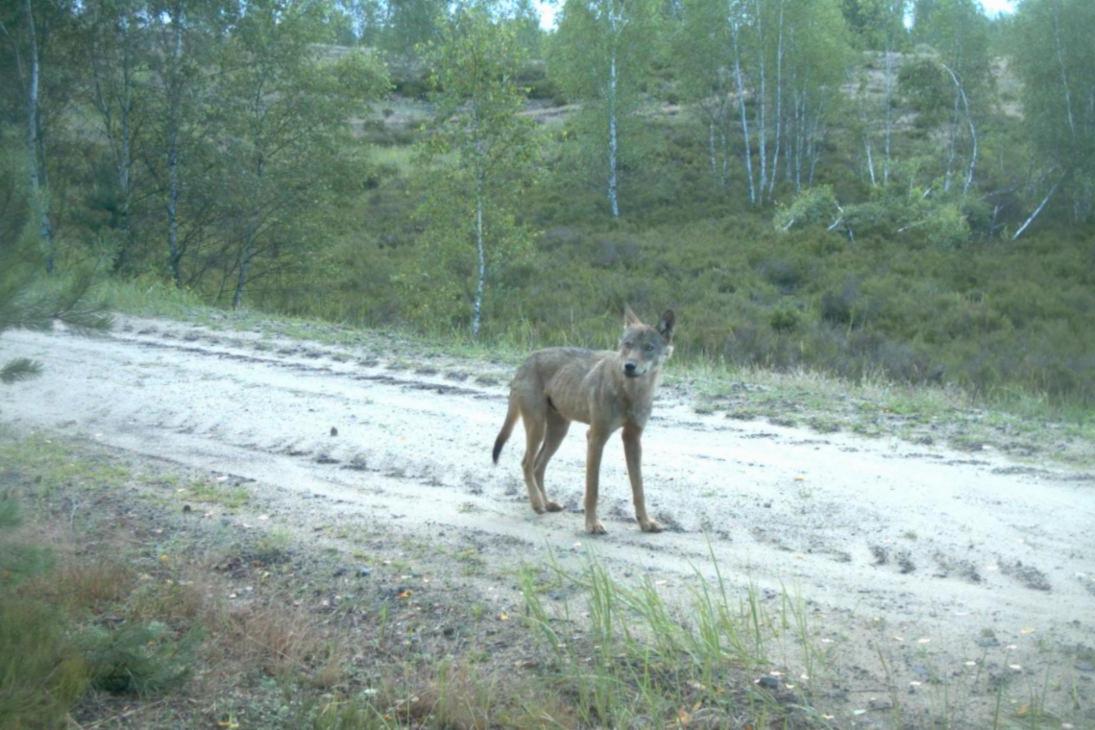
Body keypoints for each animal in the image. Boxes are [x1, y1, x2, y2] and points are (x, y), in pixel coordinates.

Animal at [490, 306, 674, 534]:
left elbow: (638, 488)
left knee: (538, 466)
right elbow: (592, 488)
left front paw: (646, 522)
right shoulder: (595, 437)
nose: (629, 366)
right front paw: (592, 524)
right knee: (526, 463)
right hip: (538, 427)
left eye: (649, 347)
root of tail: (526, 361)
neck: (631, 392)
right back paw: (537, 503)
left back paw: (547, 502)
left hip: (558, 432)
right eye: (628, 345)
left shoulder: (633, 439)